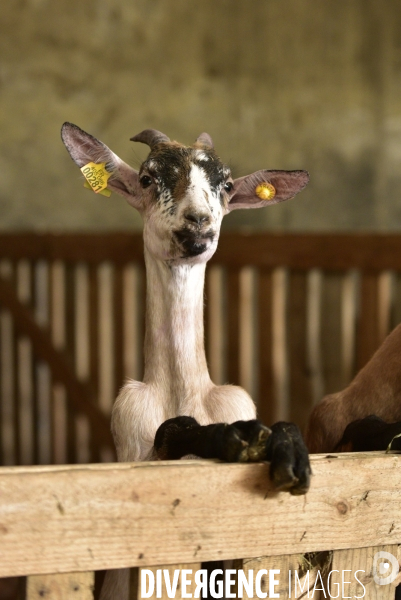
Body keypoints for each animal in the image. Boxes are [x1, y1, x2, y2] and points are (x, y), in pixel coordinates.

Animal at [61, 123, 310, 600]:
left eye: (227, 186)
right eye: (146, 178)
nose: (198, 223)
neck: (183, 393)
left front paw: (288, 453)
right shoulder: (131, 437)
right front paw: (232, 439)